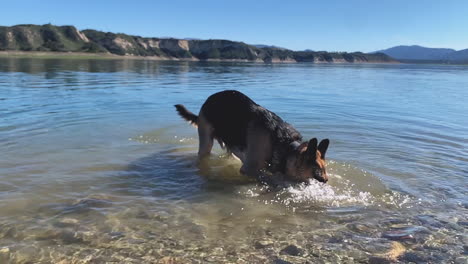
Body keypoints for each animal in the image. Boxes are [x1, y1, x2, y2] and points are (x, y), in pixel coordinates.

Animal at [175, 90, 330, 184]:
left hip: (231, 145)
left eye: (324, 172)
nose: (326, 181)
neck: (287, 147)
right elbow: (267, 177)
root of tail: (210, 98)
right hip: (206, 143)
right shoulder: (248, 170)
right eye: (317, 175)